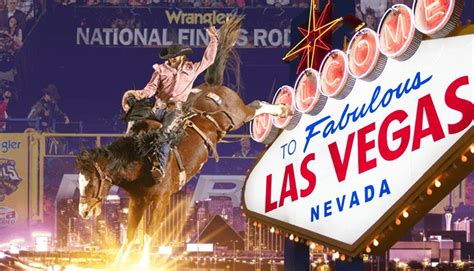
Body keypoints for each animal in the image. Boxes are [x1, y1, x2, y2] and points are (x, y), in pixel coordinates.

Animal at [75, 16, 288, 268]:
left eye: (90, 183)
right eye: (80, 182)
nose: (83, 212)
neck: (140, 159)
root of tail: (212, 86)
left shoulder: (161, 200)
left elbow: (147, 239)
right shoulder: (137, 202)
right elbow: (129, 239)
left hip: (238, 116)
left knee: (257, 105)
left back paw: (282, 109)